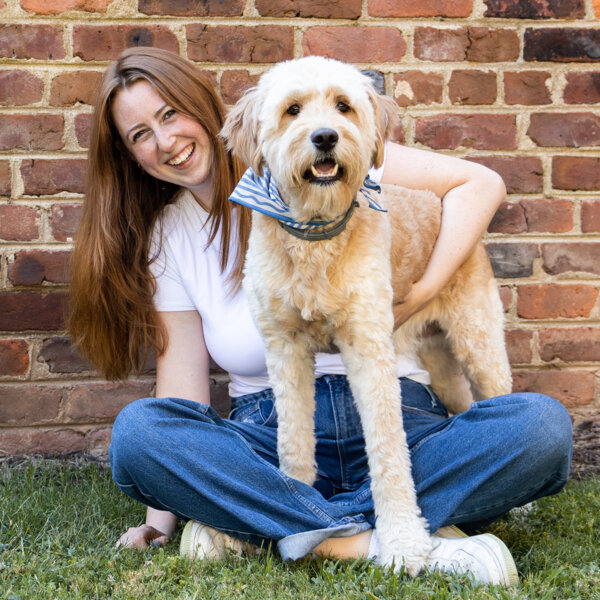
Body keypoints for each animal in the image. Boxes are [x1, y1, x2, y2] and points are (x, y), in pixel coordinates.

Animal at [223, 57, 512, 576]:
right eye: (292, 110)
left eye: (344, 106)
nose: (324, 137)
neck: (315, 235)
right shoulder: (285, 349)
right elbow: (293, 440)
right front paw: (296, 503)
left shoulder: (369, 347)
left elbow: (389, 451)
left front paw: (402, 543)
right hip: (440, 360)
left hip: (479, 342)